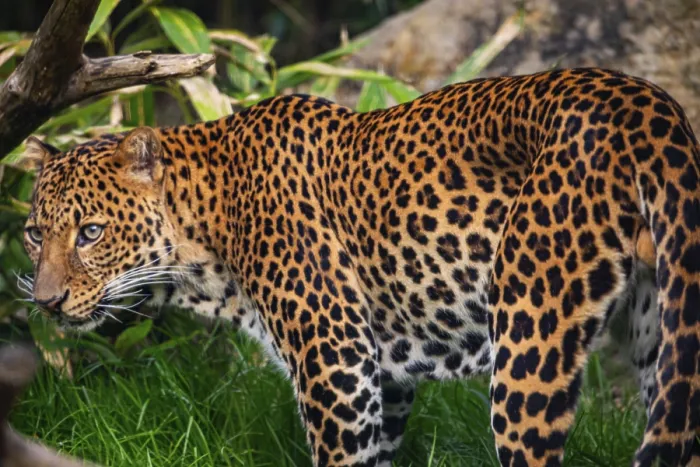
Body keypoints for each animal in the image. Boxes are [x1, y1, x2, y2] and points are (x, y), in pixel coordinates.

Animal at [20, 67, 700, 467]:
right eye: (33, 235)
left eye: (90, 233)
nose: (46, 303)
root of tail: (649, 102)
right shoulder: (386, 382)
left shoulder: (335, 362)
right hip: (665, 330)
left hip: (531, 334)